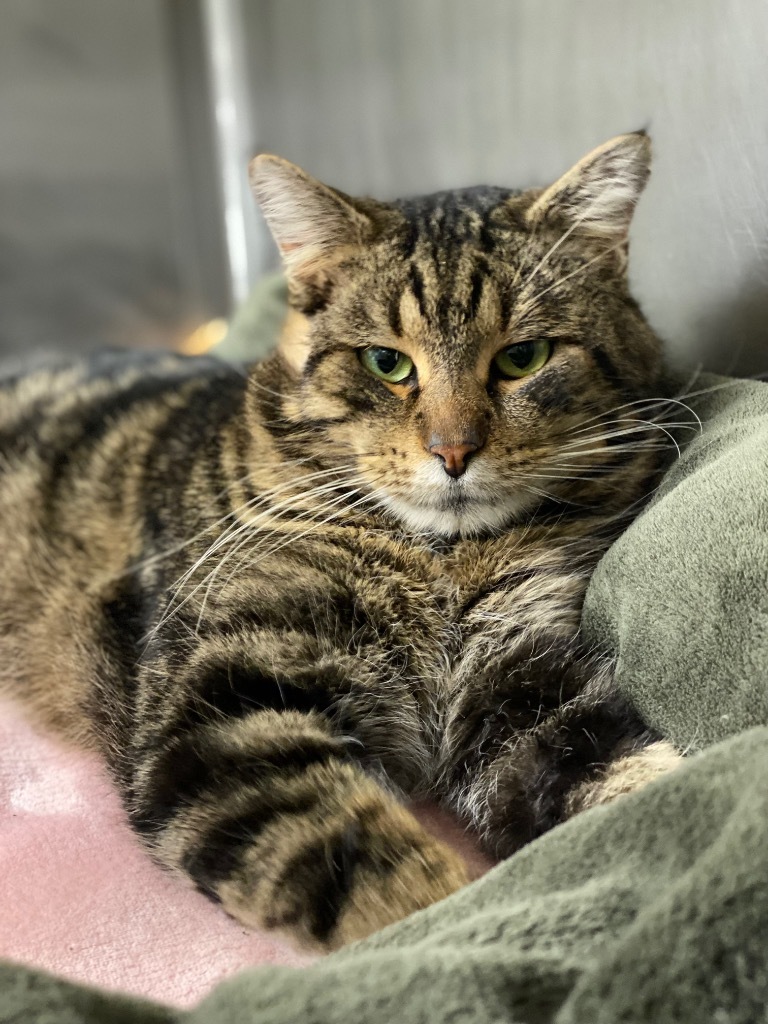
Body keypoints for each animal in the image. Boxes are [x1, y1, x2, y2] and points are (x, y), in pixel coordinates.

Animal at [3, 134, 684, 950]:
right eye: (386, 363)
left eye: (523, 357)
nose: (454, 452)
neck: (439, 558)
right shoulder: (223, 705)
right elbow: (392, 888)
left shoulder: (522, 683)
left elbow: (626, 781)